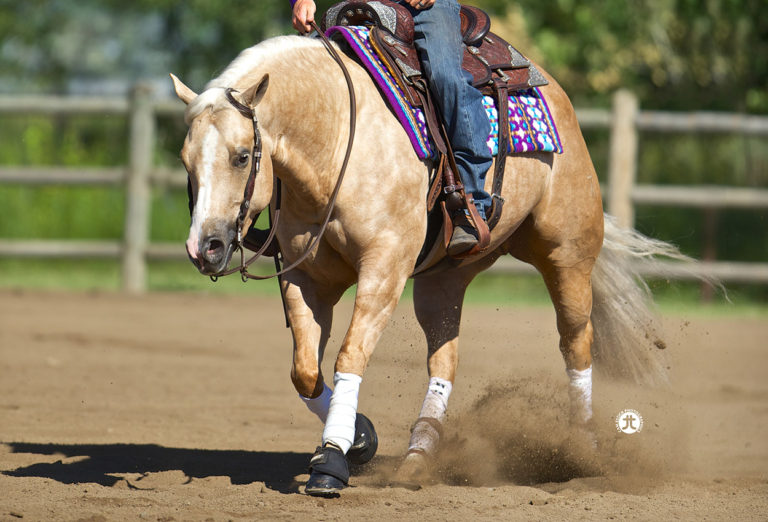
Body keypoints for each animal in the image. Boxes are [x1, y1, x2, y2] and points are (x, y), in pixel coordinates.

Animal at [170, 32, 675, 494]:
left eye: (241, 156)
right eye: (185, 160)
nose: (205, 247)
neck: (338, 141)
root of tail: (557, 97)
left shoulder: (385, 267)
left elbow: (349, 355)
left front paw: (331, 461)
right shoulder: (305, 277)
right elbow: (305, 371)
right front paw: (359, 438)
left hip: (566, 257)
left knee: (576, 344)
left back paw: (583, 451)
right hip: (443, 282)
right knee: (445, 360)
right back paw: (417, 459)